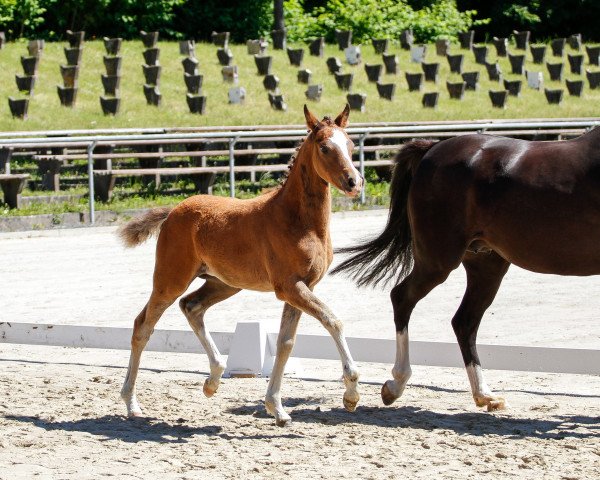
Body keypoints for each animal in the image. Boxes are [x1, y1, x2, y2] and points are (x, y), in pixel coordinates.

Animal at [116, 104, 360, 424]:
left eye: (351, 145)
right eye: (324, 147)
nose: (354, 182)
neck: (296, 220)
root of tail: (172, 212)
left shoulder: (300, 288)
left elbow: (285, 343)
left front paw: (276, 408)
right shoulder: (289, 287)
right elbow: (333, 320)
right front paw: (351, 393)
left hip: (223, 283)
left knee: (191, 307)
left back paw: (213, 381)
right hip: (170, 280)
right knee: (143, 326)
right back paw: (132, 403)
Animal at [332, 129, 600, 410]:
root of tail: (433, 148)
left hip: (486, 267)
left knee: (464, 322)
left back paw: (484, 394)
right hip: (438, 260)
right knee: (403, 298)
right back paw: (396, 384)